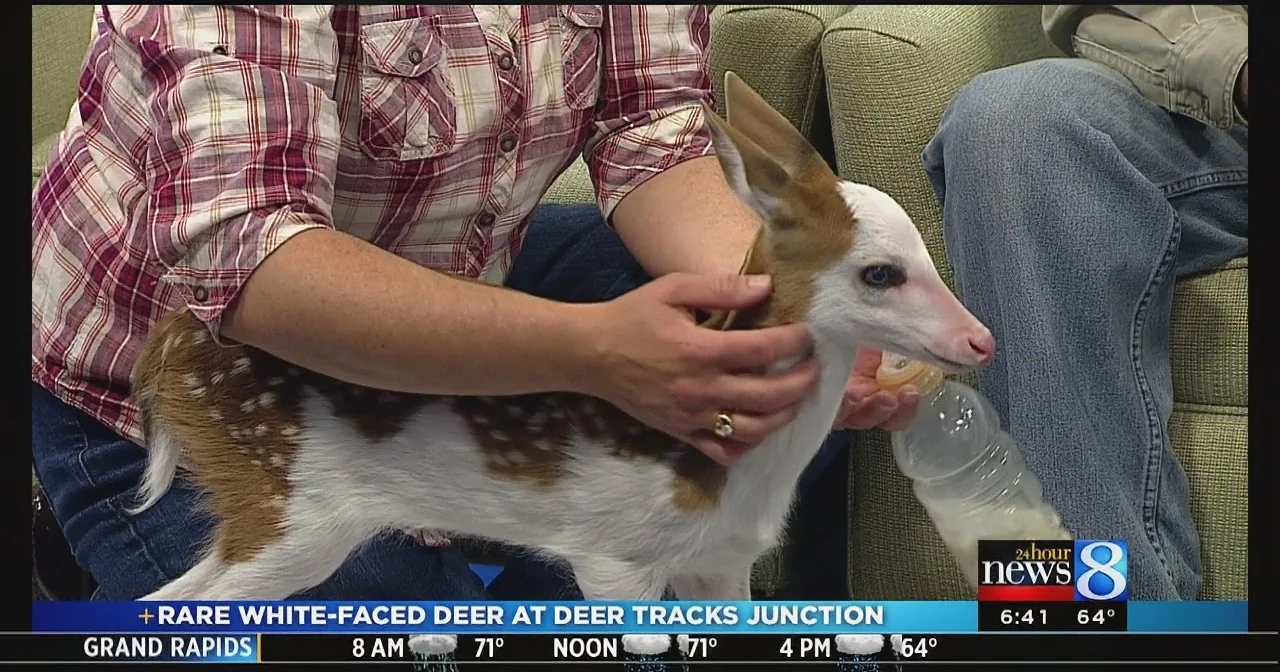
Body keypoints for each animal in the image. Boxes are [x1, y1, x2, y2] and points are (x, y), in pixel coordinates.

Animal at [128, 72, 995, 601]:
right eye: (880, 273)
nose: (980, 341)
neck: (728, 471)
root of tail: (170, 347)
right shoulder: (614, 557)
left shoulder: (719, 560)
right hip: (296, 508)